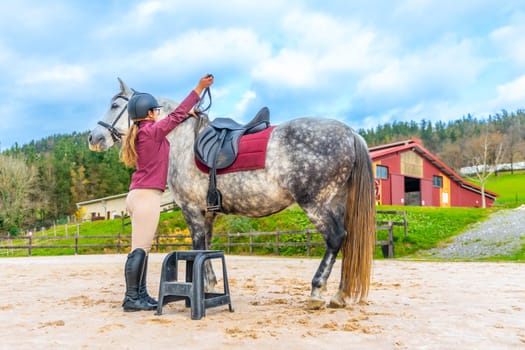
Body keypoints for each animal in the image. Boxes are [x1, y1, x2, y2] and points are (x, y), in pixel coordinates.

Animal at [88, 78, 374, 308]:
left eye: (115, 105)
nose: (93, 138)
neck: (184, 141)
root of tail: (350, 134)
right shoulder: (208, 213)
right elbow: (206, 248)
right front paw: (210, 285)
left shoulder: (192, 211)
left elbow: (197, 248)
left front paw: (200, 288)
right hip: (335, 202)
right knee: (347, 240)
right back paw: (340, 294)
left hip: (315, 203)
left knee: (335, 238)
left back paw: (317, 291)